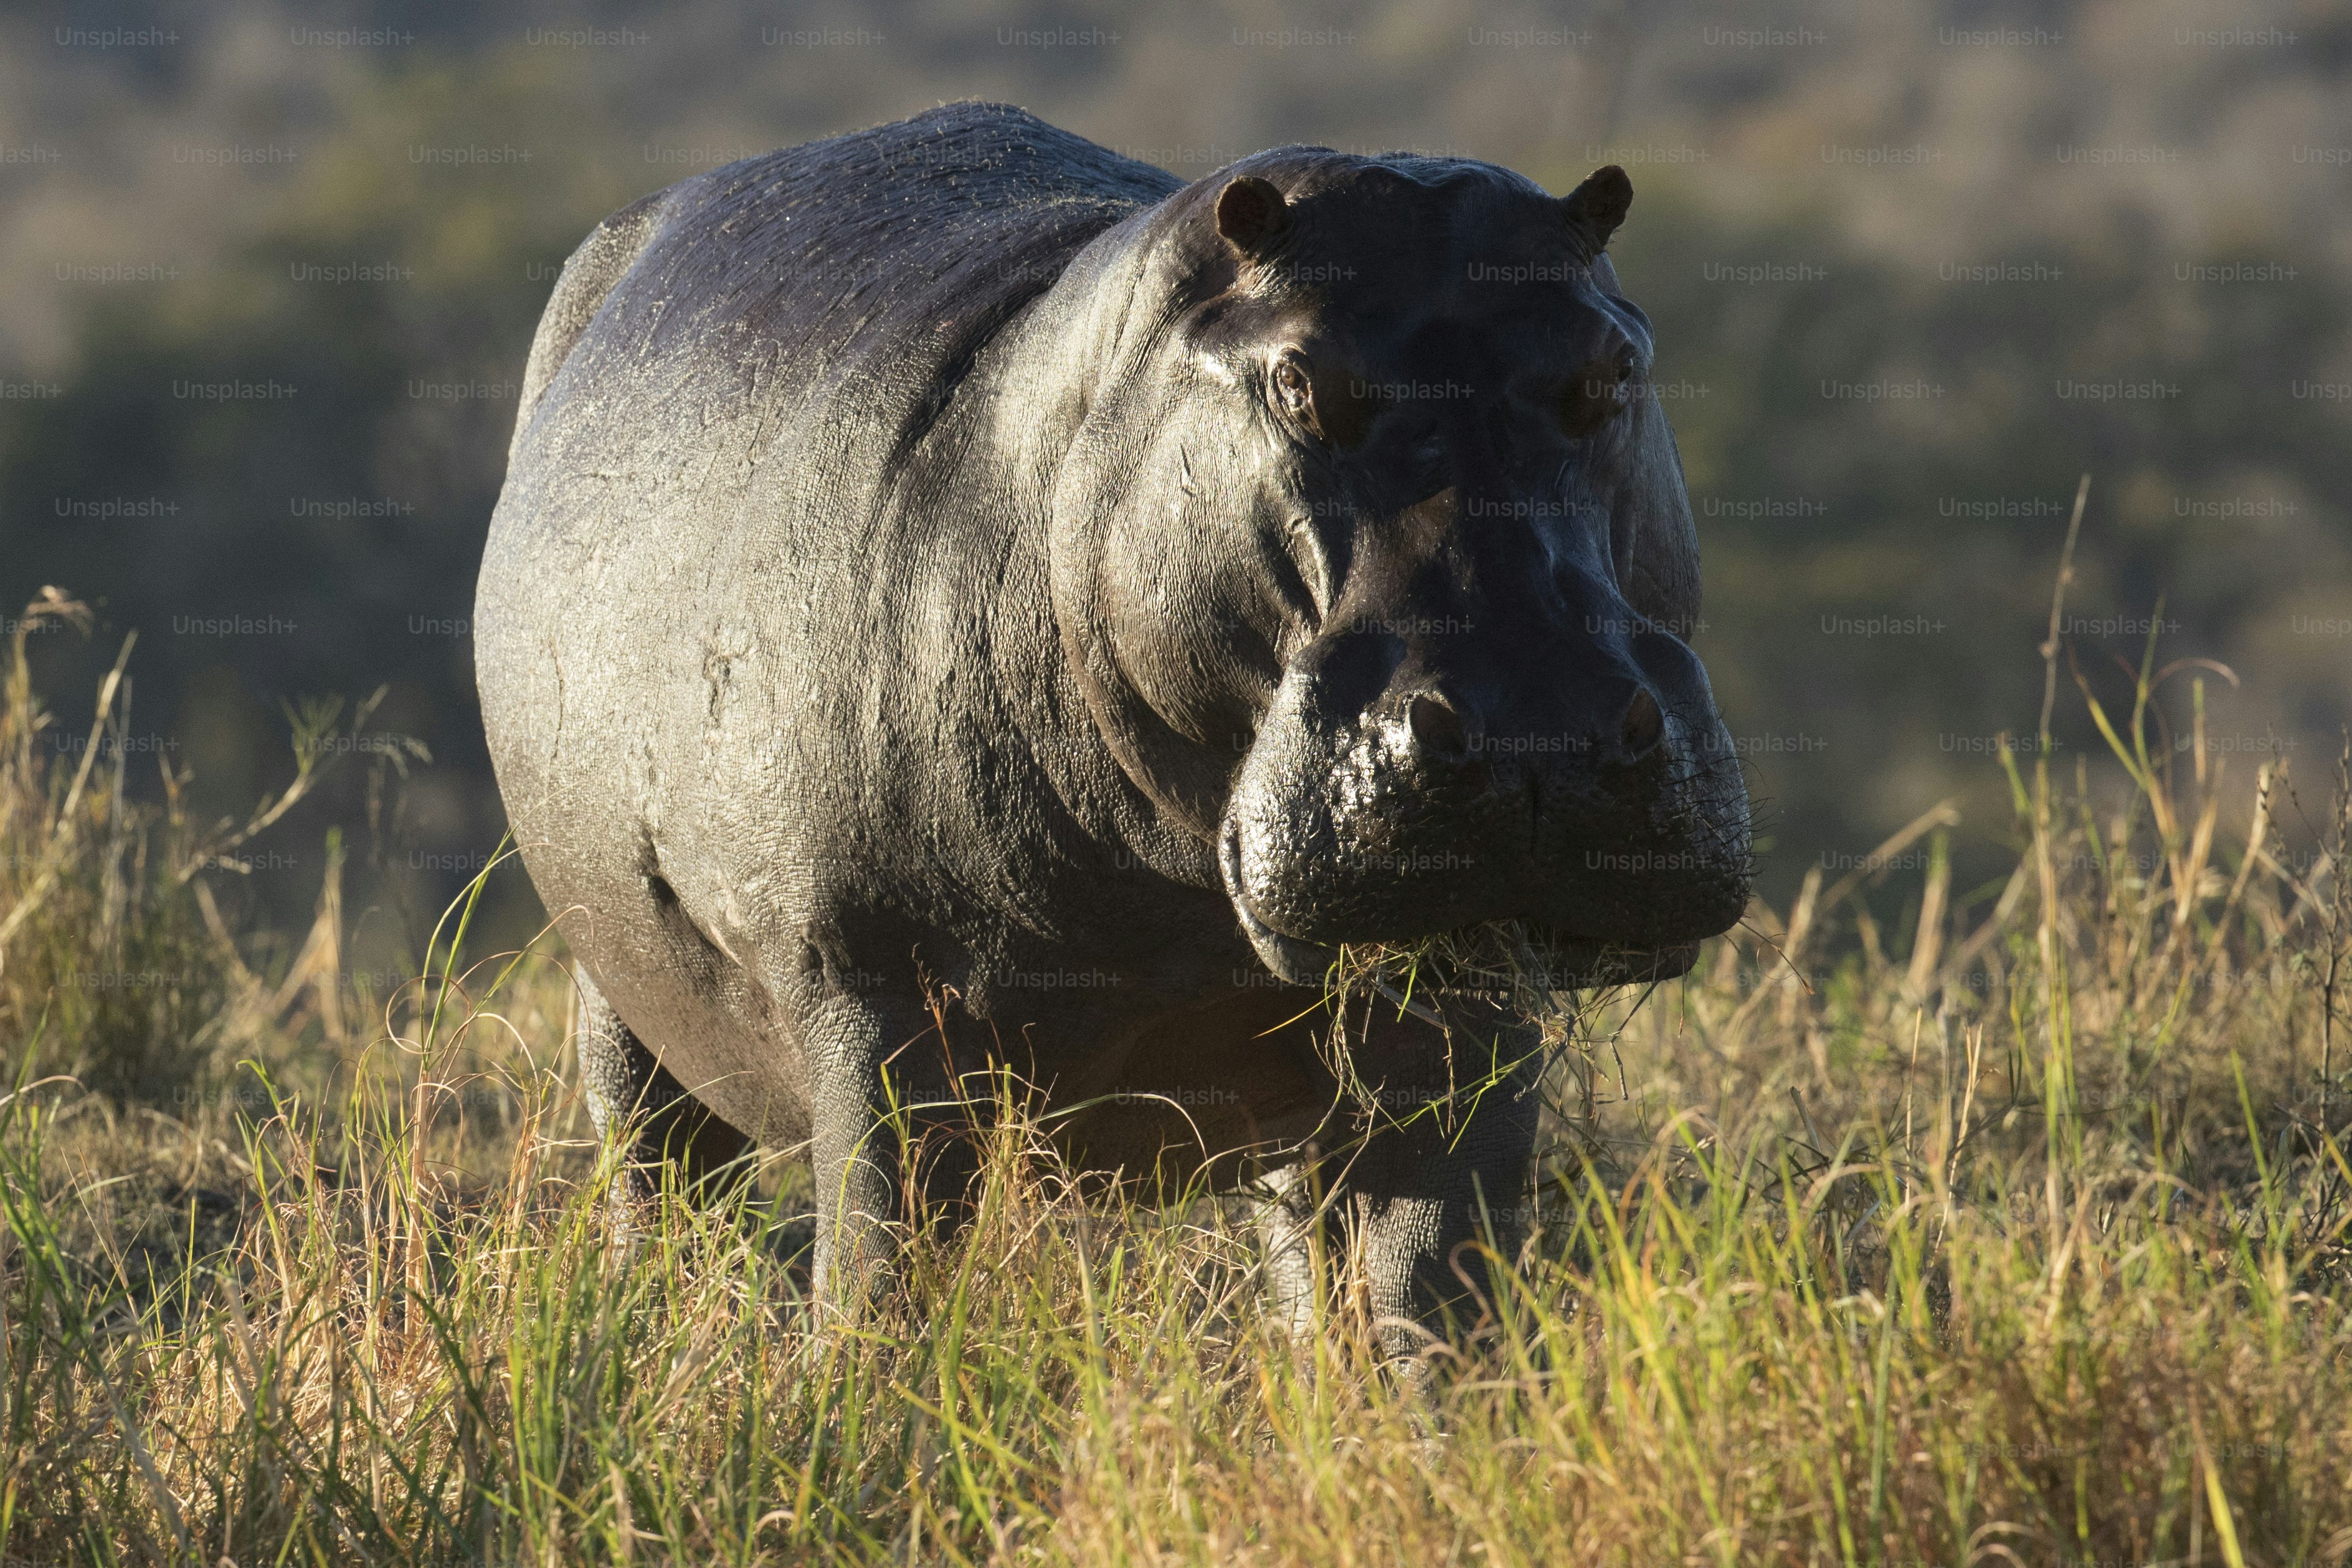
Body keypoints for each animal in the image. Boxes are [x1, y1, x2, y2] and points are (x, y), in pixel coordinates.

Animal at [475, 102, 1750, 1345]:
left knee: (1302, 1259)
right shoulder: (874, 1003)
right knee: (660, 1183)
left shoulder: (1463, 1008)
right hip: (617, 988)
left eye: (1613, 369)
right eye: (1297, 381)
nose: (1537, 724)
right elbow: (880, 1282)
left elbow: (1428, 1296)